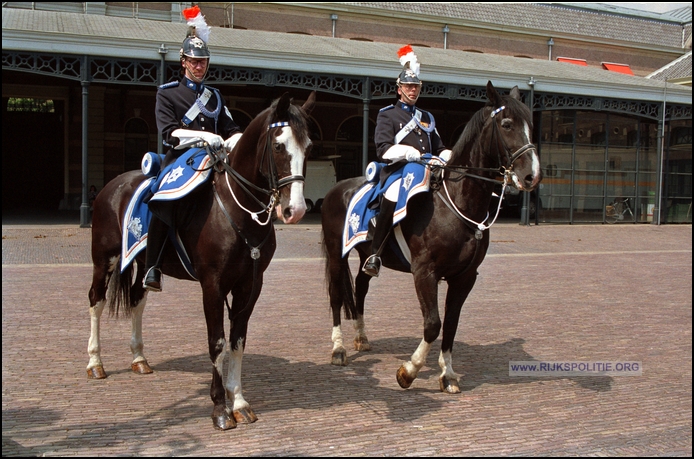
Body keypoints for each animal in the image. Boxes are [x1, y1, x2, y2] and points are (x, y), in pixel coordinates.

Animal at [87, 91, 318, 430]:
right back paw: (95, 362)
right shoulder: (213, 285)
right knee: (97, 301)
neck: (237, 210)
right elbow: (218, 343)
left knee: (137, 299)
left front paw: (239, 402)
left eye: (309, 147)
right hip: (104, 260)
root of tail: (113, 184)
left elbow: (237, 341)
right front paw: (220, 408)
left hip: (142, 264)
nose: (296, 210)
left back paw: (139, 359)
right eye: (278, 146)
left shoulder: (250, 285)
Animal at [322, 82, 544, 392]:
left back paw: (362, 338)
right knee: (335, 297)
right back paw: (338, 349)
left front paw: (447, 374)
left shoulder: (464, 277)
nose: (531, 176)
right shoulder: (424, 272)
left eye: (531, 126)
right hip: (335, 255)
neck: (456, 204)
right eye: (507, 124)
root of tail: (335, 190)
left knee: (360, 287)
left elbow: (450, 324)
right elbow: (433, 324)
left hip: (367, 254)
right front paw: (408, 371)